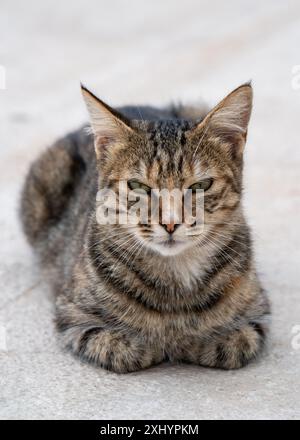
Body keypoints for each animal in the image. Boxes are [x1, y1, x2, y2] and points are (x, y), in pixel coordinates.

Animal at [20, 82, 270, 372]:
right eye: (138, 186)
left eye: (201, 186)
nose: (171, 222)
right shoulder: (72, 316)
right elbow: (122, 349)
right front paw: (161, 343)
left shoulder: (258, 314)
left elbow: (233, 343)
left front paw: (191, 341)